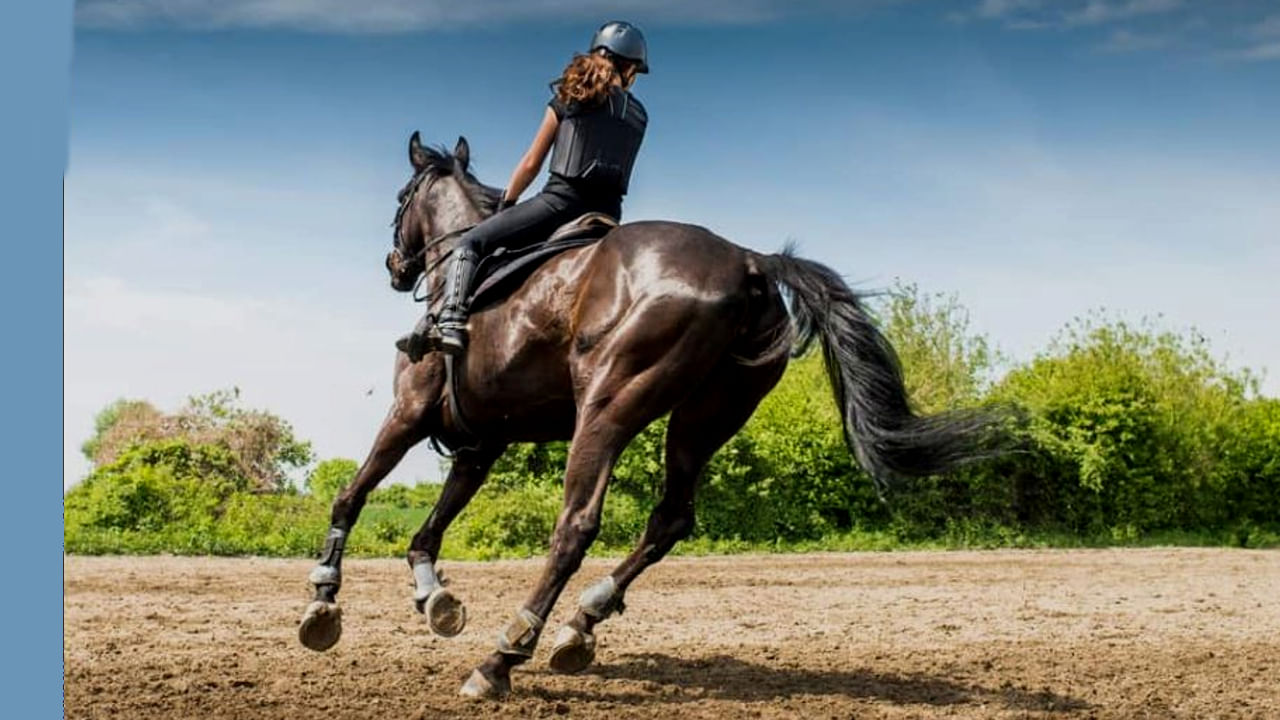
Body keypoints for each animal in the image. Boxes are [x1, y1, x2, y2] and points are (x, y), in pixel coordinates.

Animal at [299, 130, 998, 696]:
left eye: (401, 198)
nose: (395, 267)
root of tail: (750, 261)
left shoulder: (409, 414)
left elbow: (351, 496)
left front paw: (323, 602)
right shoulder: (481, 443)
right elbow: (429, 530)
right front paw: (434, 597)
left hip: (607, 409)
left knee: (576, 527)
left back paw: (503, 657)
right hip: (704, 419)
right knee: (670, 519)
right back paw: (579, 626)